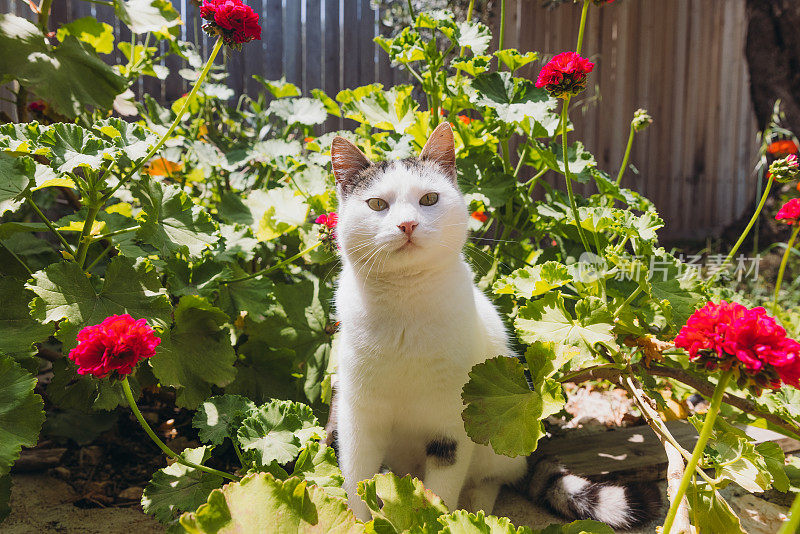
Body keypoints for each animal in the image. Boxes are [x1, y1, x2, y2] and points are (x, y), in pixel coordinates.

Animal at [330, 124, 656, 532]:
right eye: (377, 205)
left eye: (429, 199)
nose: (408, 224)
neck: (405, 303)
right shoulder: (358, 418)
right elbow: (357, 482)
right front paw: (359, 521)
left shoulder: (451, 424)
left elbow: (441, 491)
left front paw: (444, 519)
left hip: (495, 443)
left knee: (493, 479)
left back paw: (478, 509)